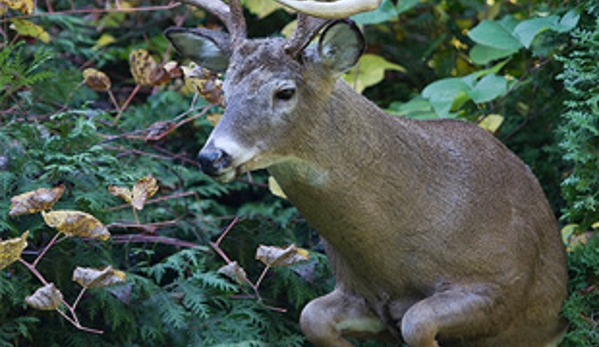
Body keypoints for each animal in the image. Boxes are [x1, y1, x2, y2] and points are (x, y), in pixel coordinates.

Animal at [166, 1, 568, 346]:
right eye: (225, 90)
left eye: (284, 91)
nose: (211, 156)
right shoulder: (359, 295)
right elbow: (311, 316)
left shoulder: (503, 285)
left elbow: (416, 322)